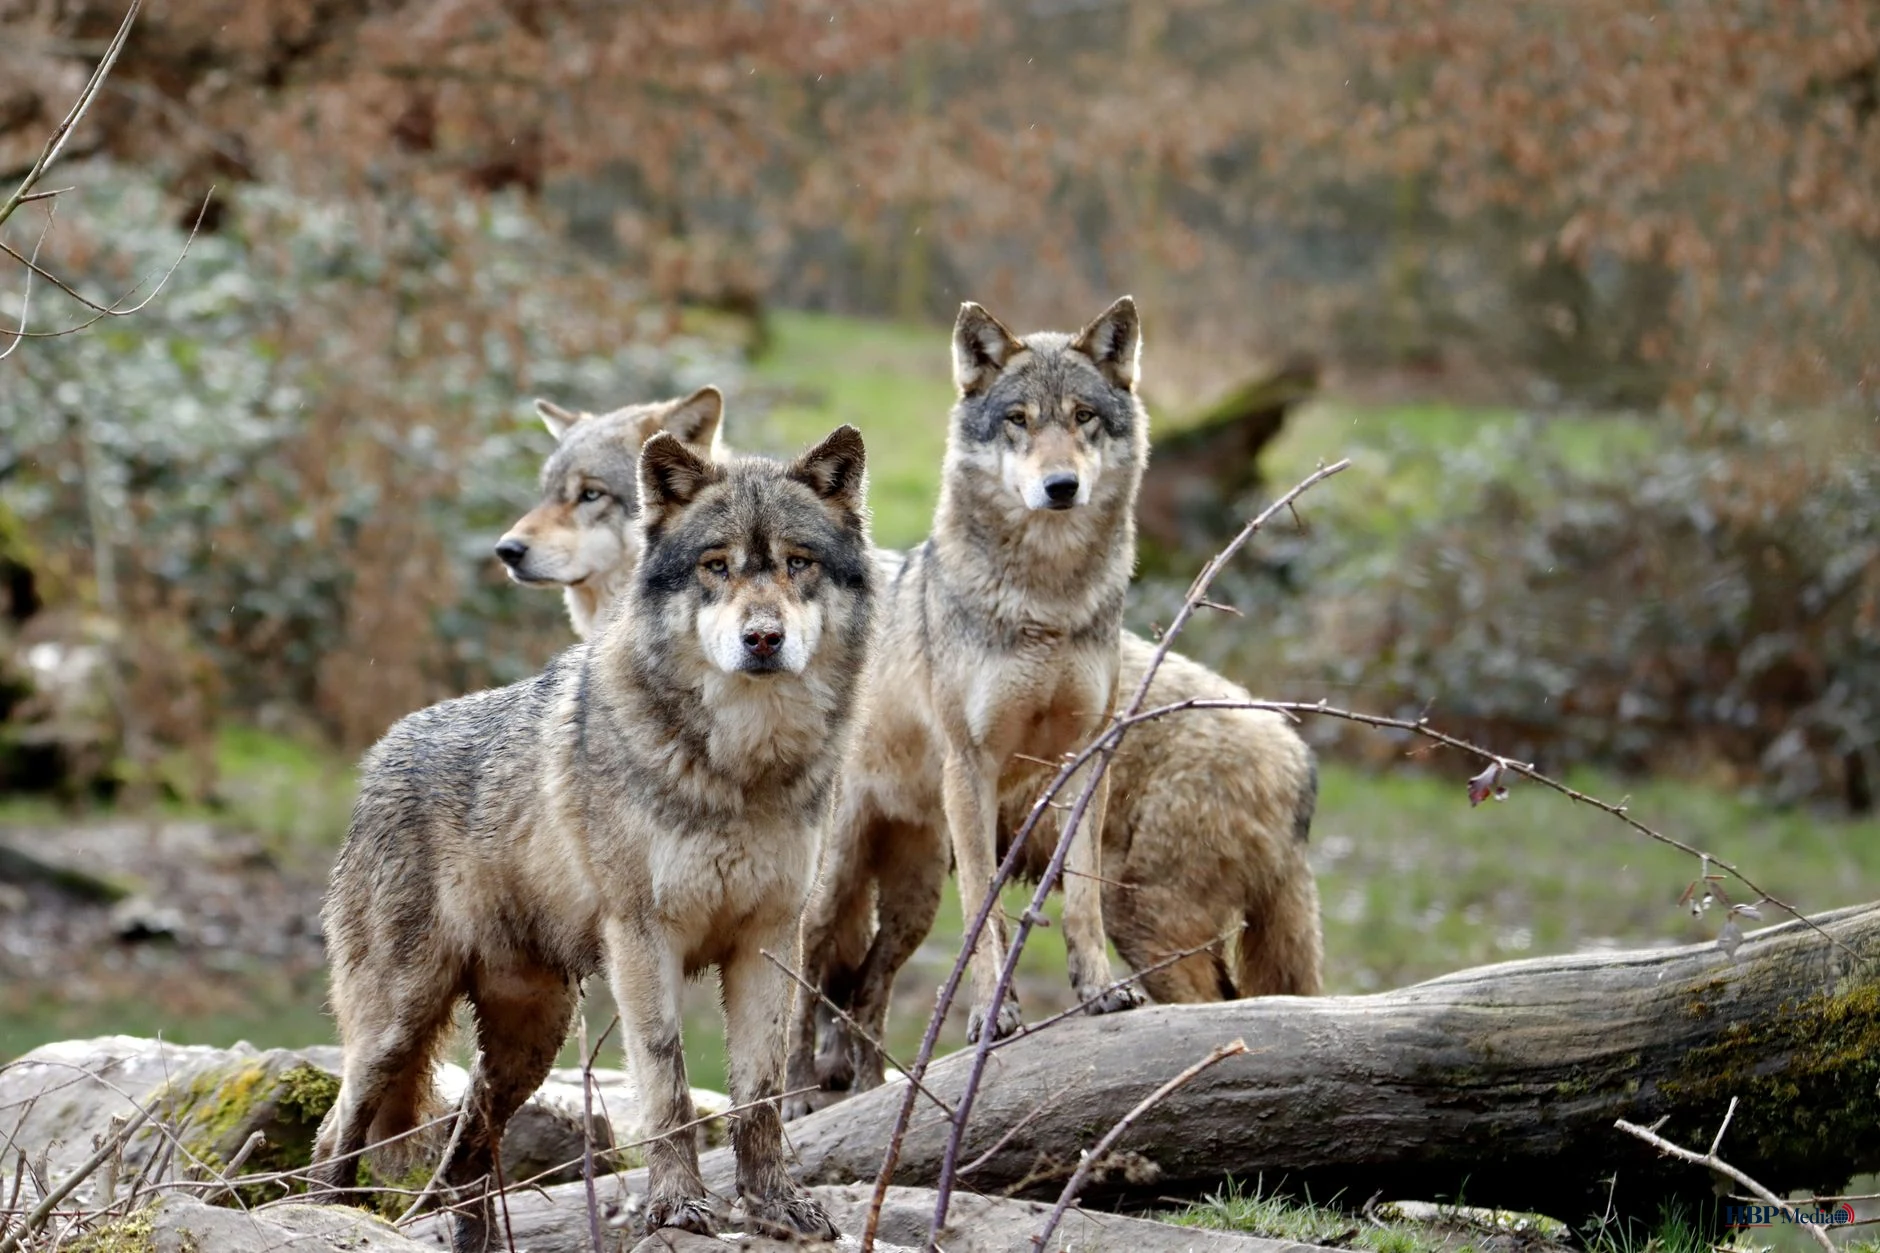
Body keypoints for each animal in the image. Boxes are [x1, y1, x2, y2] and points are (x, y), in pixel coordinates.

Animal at [309, 427, 873, 1250]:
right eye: (716, 566)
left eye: (798, 563)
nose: (763, 639)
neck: (739, 767)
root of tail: (379, 753)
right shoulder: (643, 940)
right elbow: (669, 1085)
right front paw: (678, 1204)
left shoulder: (769, 939)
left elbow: (760, 1096)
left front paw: (775, 1207)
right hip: (397, 1024)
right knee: (337, 1133)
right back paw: (326, 1215)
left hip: (530, 1041)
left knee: (465, 1154)